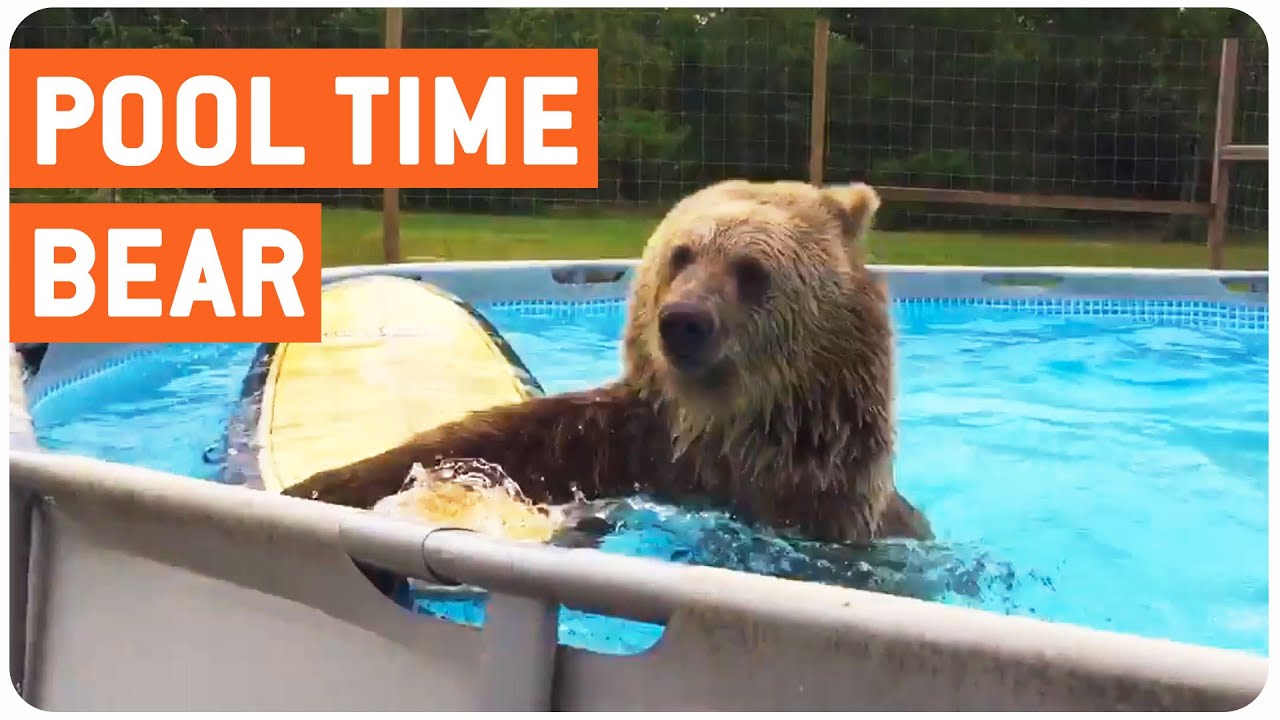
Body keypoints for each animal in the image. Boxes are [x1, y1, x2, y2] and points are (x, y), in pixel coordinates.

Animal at [283, 178, 933, 547]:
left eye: (751, 270)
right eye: (682, 254)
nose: (683, 320)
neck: (717, 433)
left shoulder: (824, 498)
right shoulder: (601, 444)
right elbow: (463, 448)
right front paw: (322, 485)